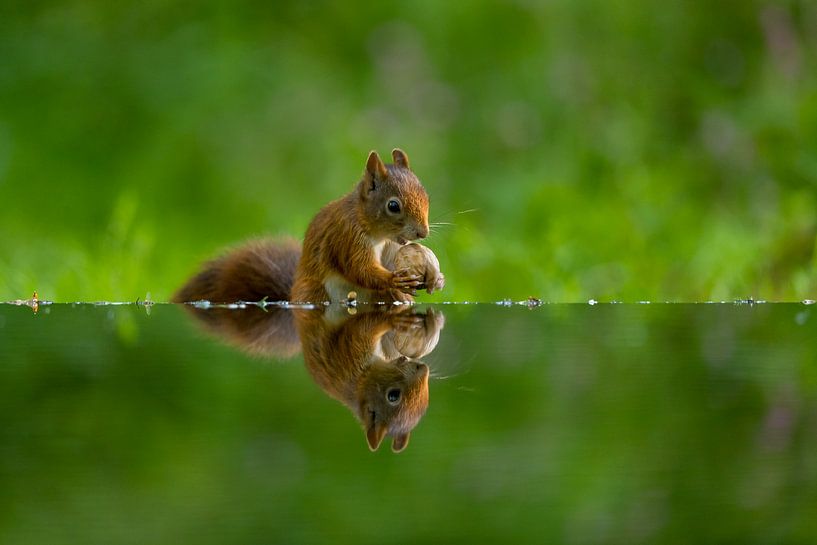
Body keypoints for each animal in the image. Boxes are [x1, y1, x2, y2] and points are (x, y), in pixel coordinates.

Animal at [173, 148, 443, 305]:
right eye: (393, 206)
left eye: (426, 197)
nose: (423, 233)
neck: (380, 235)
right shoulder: (347, 236)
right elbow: (359, 268)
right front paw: (394, 280)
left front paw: (438, 279)